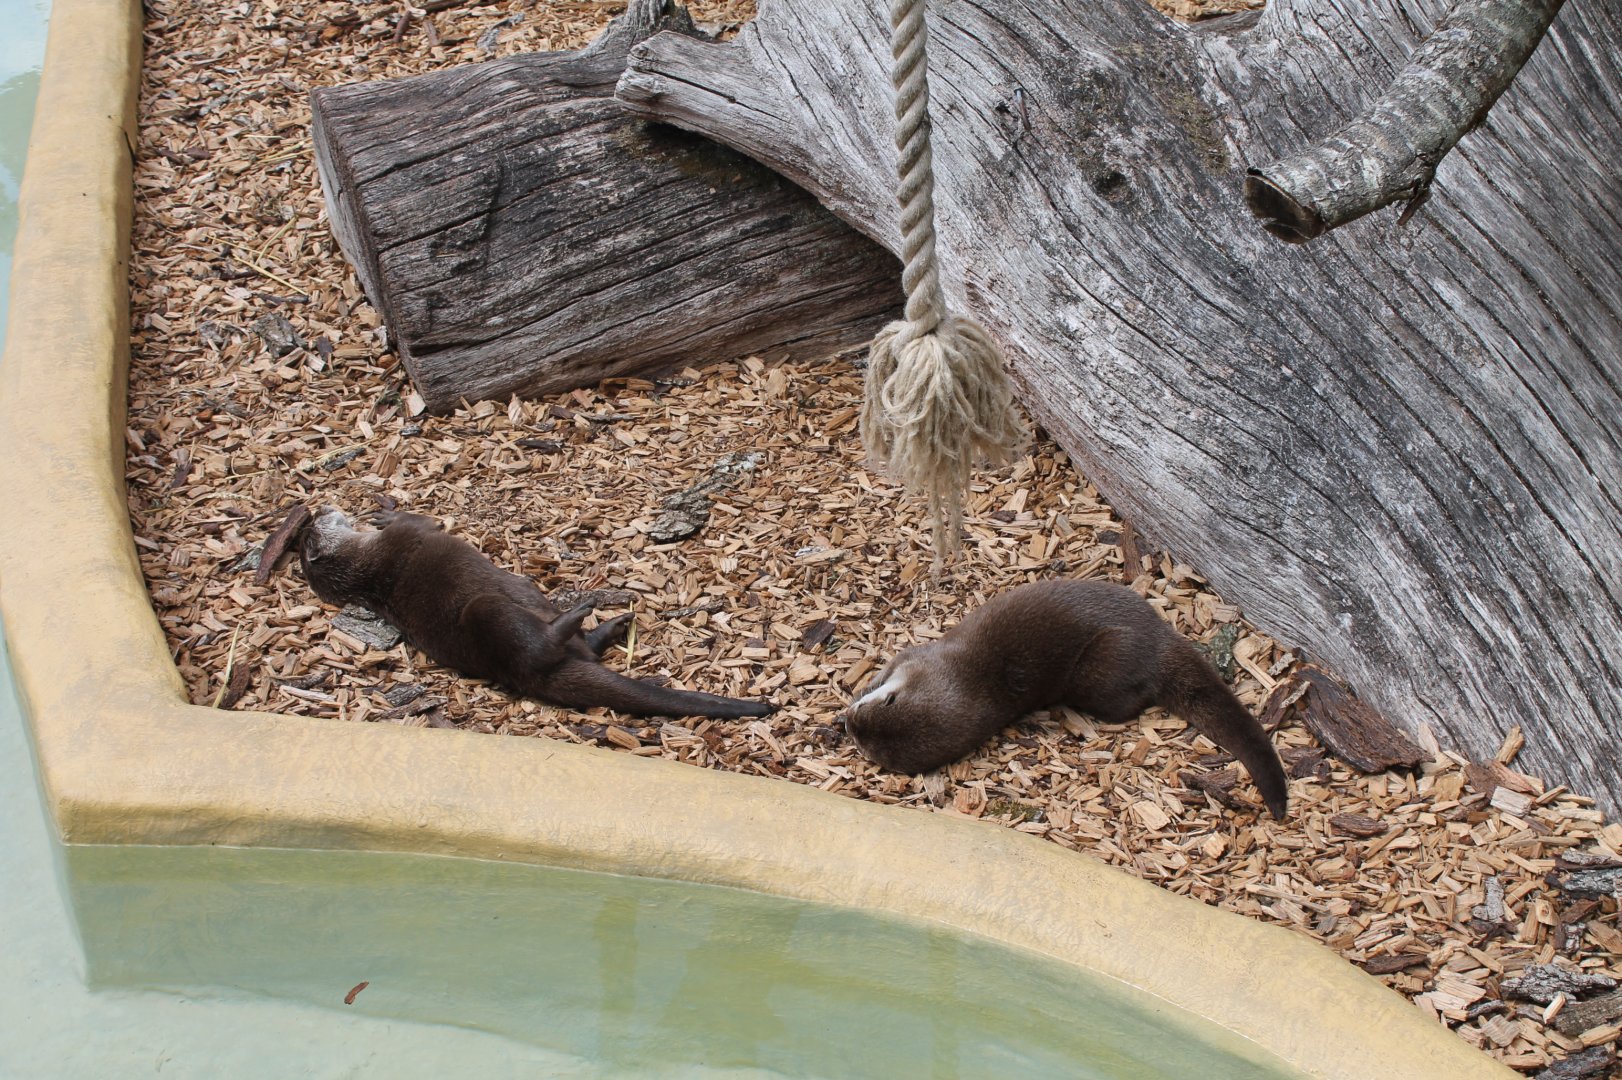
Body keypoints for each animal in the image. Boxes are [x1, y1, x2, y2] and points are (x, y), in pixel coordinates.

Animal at [300, 507, 773, 720]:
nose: (316, 512)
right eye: (311, 530)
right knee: (542, 643)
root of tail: (523, 675)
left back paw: (611, 624)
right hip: (488, 616)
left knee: (586, 650)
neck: (367, 564)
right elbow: (421, 521)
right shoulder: (407, 534)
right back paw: (582, 611)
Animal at [842, 580, 1289, 818]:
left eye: (871, 746)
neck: (966, 679)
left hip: (1101, 669)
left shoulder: (921, 655)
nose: (849, 724)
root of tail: (1160, 640)